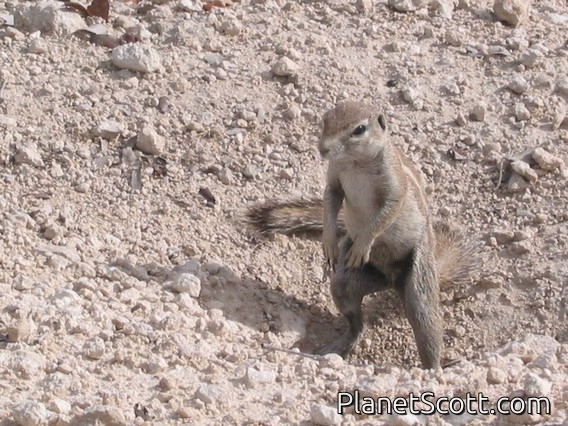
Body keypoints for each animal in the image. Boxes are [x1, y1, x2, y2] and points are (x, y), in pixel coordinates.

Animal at [246, 101, 478, 369]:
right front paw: (329, 240)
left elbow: (385, 214)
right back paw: (339, 344)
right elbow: (330, 200)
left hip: (420, 280)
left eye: (359, 129)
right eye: (325, 119)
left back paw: (434, 369)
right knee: (356, 320)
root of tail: (392, 281)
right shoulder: (333, 178)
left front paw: (363, 244)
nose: (323, 148)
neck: (355, 162)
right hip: (346, 284)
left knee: (425, 322)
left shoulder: (394, 186)